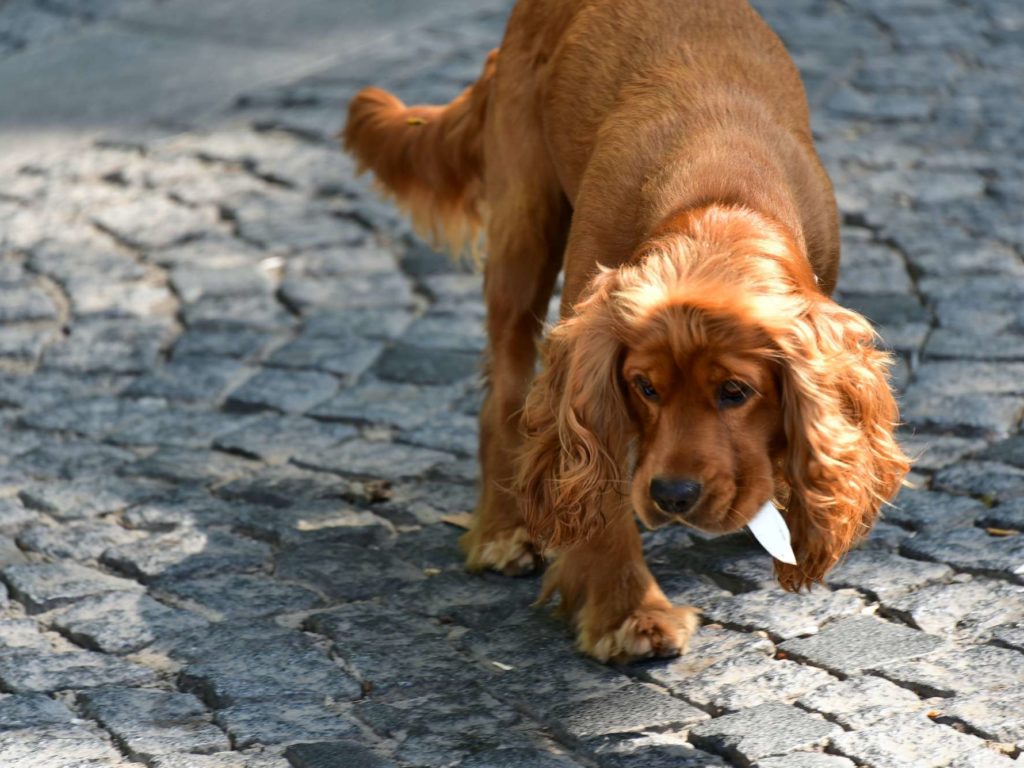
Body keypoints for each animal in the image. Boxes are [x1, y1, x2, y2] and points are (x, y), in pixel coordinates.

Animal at [346, 0, 913, 663]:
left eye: (736, 392)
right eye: (644, 387)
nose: (673, 496)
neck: (720, 198)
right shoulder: (586, 352)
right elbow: (602, 484)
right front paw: (627, 613)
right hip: (525, 223)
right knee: (505, 387)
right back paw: (503, 529)